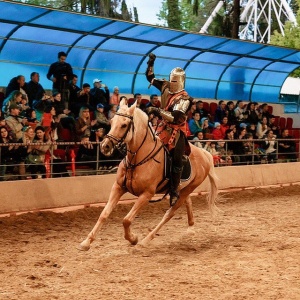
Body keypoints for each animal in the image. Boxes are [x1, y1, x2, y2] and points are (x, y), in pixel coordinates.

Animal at [77, 101, 218, 251]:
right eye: (112, 121)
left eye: (124, 125)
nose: (105, 146)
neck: (138, 158)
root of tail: (205, 154)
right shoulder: (118, 187)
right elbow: (103, 215)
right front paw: (86, 242)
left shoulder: (146, 194)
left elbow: (126, 220)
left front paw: (133, 239)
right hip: (182, 189)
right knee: (188, 202)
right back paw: (190, 227)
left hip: (188, 188)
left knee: (169, 214)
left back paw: (146, 239)